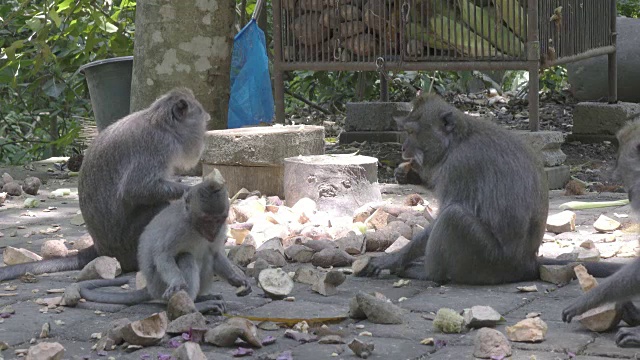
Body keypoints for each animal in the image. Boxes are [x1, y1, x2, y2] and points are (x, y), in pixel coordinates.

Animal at [0, 87, 208, 282]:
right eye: (202, 123)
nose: (203, 138)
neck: (161, 124)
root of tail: (101, 250)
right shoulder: (159, 146)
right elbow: (136, 189)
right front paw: (193, 190)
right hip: (127, 244)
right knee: (160, 207)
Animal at [77, 169, 252, 312]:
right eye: (206, 220)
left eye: (218, 220)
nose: (212, 232)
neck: (194, 226)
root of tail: (150, 288)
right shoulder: (178, 228)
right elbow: (163, 255)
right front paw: (177, 282)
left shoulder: (221, 229)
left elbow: (215, 253)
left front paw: (236, 279)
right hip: (159, 285)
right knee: (185, 257)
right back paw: (196, 306)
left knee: (207, 257)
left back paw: (201, 298)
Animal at [356, 94, 620, 286]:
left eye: (412, 132)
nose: (403, 148)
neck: (458, 140)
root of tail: (527, 264)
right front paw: (410, 174)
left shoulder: (460, 166)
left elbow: (444, 213)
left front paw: (393, 259)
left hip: (487, 261)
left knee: (453, 217)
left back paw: (429, 274)